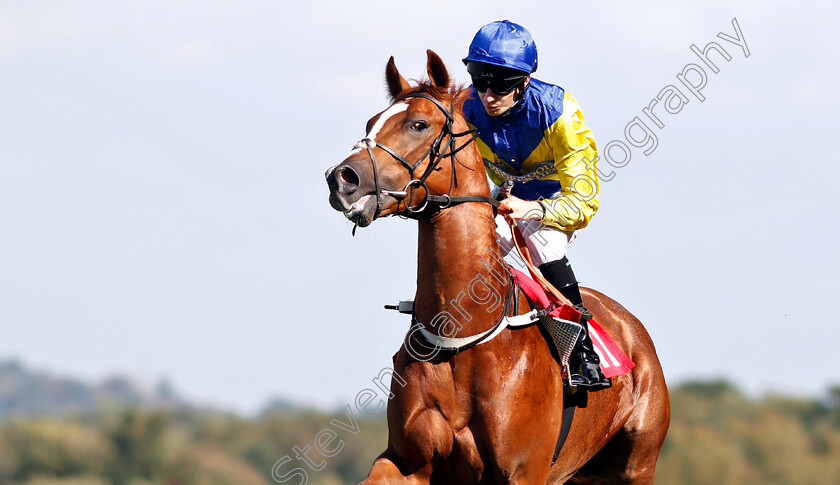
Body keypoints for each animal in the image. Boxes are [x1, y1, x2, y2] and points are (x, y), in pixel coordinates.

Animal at [324, 50, 668, 484]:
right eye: (372, 122)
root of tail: (632, 326)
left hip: (636, 465)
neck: (462, 336)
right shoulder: (407, 462)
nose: (341, 178)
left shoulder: (523, 470)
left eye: (418, 124)